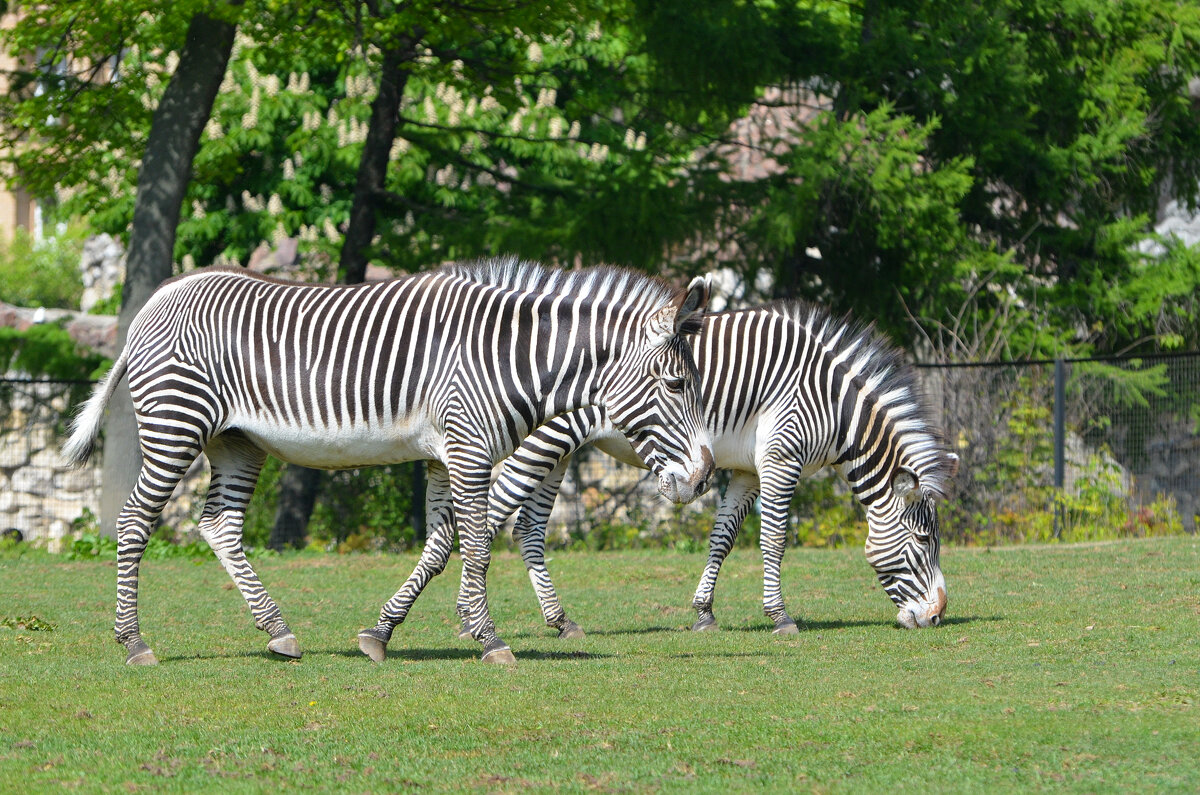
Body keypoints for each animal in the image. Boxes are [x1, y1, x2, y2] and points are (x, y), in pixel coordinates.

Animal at [63, 261, 710, 667]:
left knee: (219, 525)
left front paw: (382, 633)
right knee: (133, 522)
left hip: (235, 440)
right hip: (176, 424)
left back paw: (278, 632)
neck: (507, 357)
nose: (702, 478)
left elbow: (443, 545)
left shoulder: (444, 456)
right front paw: (490, 640)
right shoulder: (469, 448)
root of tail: (157, 296)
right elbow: (478, 543)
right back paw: (134, 642)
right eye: (679, 384)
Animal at [465, 302, 955, 638]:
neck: (831, 404)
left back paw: (560, 621)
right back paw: (472, 622)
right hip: (546, 438)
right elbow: (774, 540)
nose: (936, 617)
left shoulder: (748, 471)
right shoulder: (782, 459)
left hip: (561, 451)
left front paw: (704, 612)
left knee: (526, 528)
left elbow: (724, 538)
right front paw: (780, 617)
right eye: (923, 541)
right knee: (489, 518)